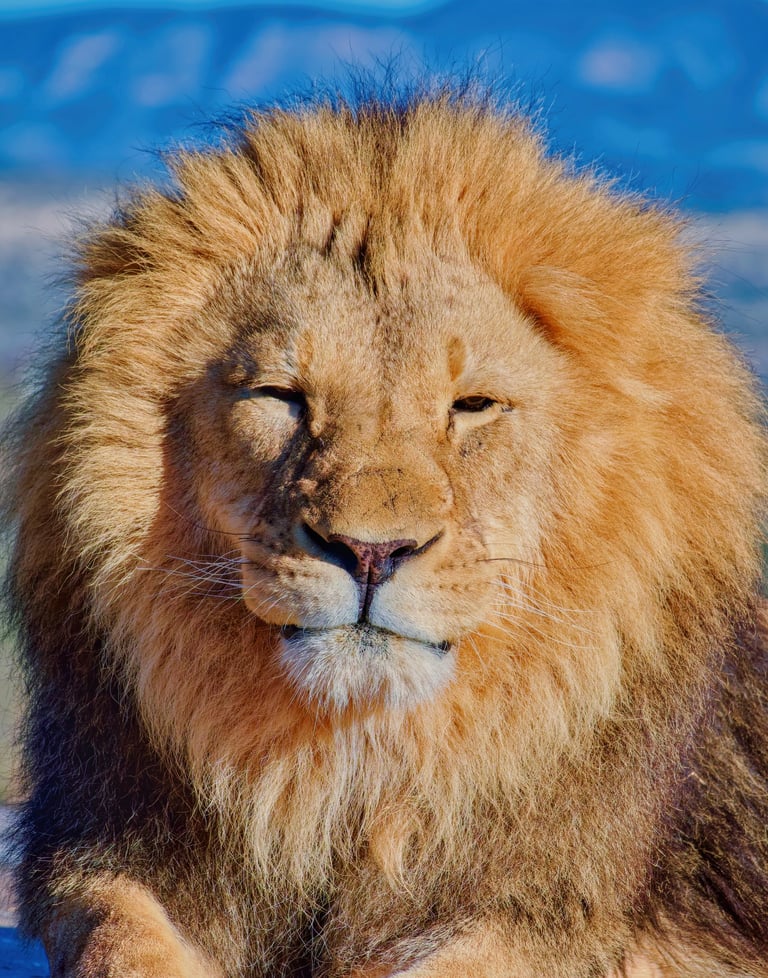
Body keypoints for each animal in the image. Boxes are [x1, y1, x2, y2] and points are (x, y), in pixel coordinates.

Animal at [2, 88, 767, 978]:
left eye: (473, 406)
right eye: (280, 395)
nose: (372, 552)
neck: (353, 782)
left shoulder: (569, 914)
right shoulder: (99, 847)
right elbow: (118, 936)